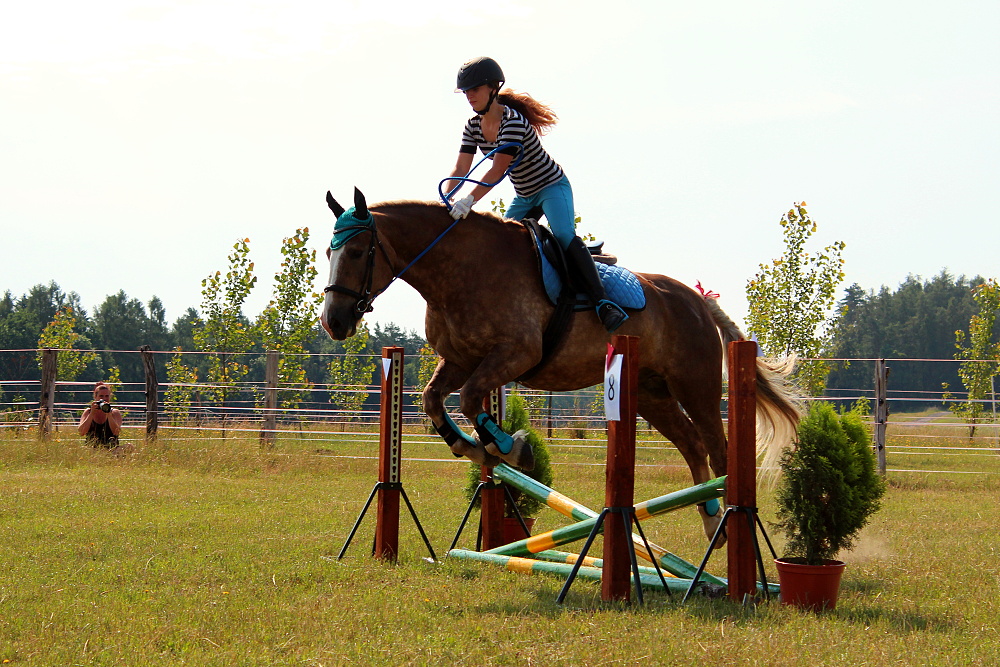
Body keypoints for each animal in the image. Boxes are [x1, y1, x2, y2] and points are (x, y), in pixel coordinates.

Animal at [320, 188, 802, 542]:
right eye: (329, 252)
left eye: (358, 252)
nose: (334, 322)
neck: (459, 269)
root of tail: (698, 301)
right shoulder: (459, 359)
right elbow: (434, 400)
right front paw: (475, 448)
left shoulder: (515, 353)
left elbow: (472, 397)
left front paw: (514, 448)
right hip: (651, 394)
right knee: (691, 445)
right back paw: (710, 519)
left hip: (695, 386)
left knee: (718, 450)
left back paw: (727, 528)